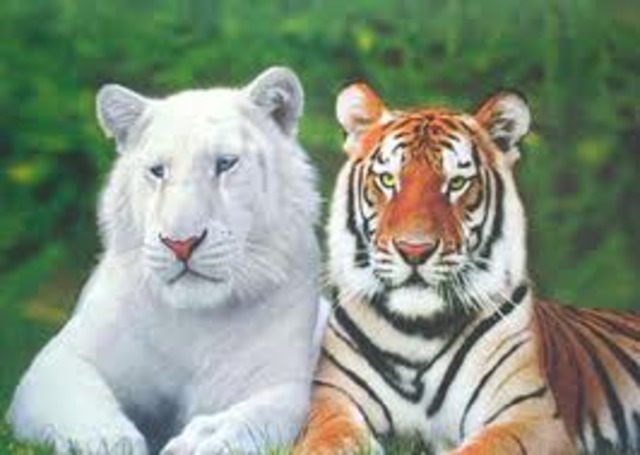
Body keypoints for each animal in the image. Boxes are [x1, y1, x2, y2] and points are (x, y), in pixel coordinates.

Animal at [294, 83, 640, 455]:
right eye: (387, 180)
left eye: (457, 183)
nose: (414, 250)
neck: (417, 333)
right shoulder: (331, 398)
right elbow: (327, 438)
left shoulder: (528, 415)